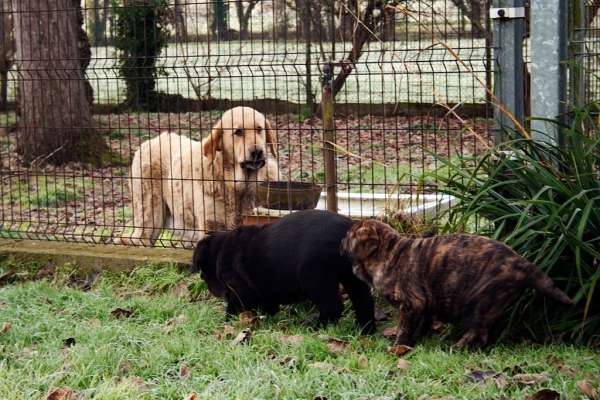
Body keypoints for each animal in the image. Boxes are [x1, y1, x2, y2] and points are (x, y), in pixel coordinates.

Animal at [114, 108, 278, 248]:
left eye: (259, 129)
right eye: (238, 132)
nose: (257, 152)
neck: (236, 186)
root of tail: (149, 142)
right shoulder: (211, 224)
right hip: (151, 220)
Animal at [193, 209, 376, 334]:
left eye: (204, 274)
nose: (213, 290)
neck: (218, 251)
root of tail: (348, 230)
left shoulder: (238, 288)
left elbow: (234, 305)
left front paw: (228, 321)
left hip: (315, 278)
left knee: (333, 306)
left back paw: (318, 329)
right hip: (351, 276)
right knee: (364, 301)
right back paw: (364, 330)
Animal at [340, 217, 576, 348]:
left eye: (349, 236)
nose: (341, 241)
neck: (388, 252)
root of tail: (523, 264)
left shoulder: (411, 304)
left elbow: (403, 328)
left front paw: (398, 346)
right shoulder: (424, 306)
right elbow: (421, 324)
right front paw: (414, 342)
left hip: (477, 304)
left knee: (477, 335)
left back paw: (455, 348)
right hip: (491, 305)